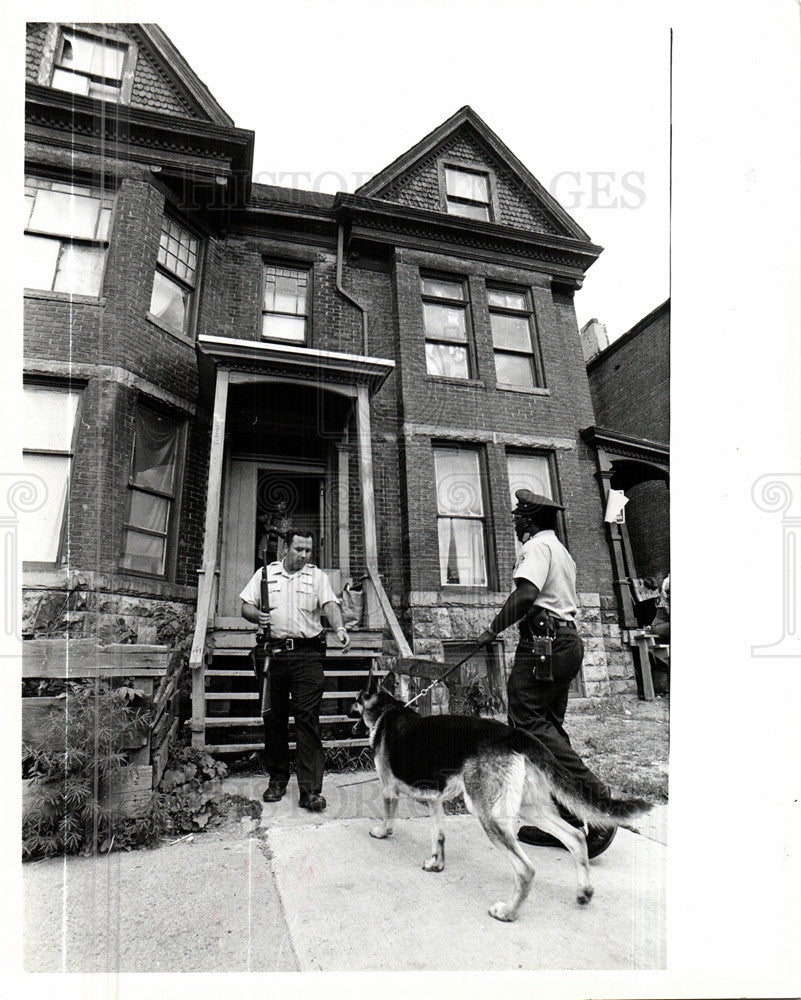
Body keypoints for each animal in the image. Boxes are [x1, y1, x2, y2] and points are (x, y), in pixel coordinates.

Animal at [350, 668, 648, 924]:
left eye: (355, 700)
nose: (348, 718)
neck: (386, 710)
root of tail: (518, 736)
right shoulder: (434, 799)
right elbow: (439, 835)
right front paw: (437, 862)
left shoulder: (389, 789)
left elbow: (389, 817)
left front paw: (382, 832)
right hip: (530, 808)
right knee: (575, 837)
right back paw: (583, 891)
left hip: (488, 815)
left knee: (526, 869)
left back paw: (508, 912)